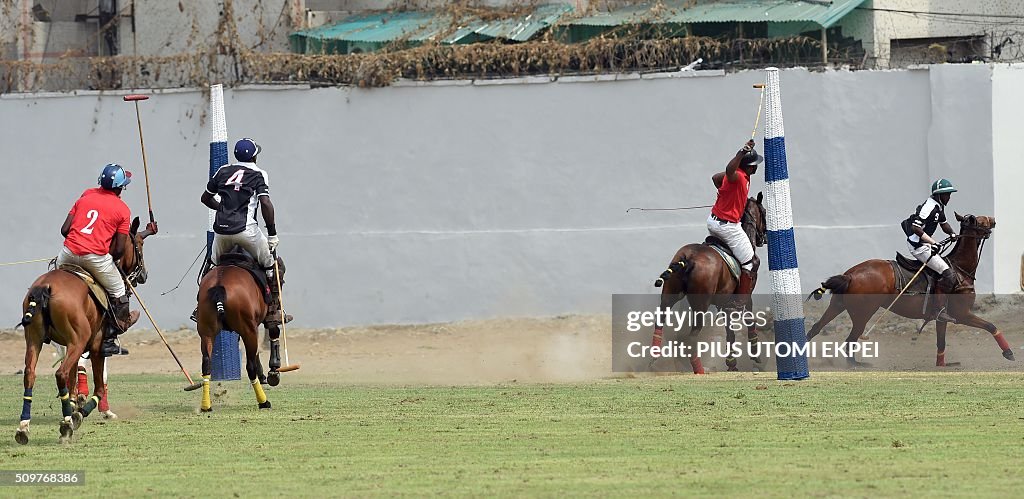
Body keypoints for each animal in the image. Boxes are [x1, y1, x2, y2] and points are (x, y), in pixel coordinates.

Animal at [14, 219, 149, 444]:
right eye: (139, 243)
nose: (144, 275)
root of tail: (45, 287)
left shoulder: (71, 347)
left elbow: (73, 381)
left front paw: (73, 408)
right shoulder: (95, 346)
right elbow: (99, 386)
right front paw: (77, 414)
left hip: (35, 338)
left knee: (30, 373)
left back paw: (24, 427)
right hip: (78, 340)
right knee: (60, 373)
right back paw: (67, 426)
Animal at [193, 252, 284, 411]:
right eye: (282, 277)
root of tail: (219, 287)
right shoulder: (261, 320)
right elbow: (273, 330)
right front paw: (273, 371)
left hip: (206, 332)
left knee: (206, 364)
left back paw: (206, 405)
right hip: (247, 329)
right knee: (250, 367)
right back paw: (263, 402)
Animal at [651, 195, 765, 375]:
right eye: (764, 211)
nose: (764, 238)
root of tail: (688, 258)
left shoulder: (725, 305)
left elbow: (730, 333)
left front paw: (731, 364)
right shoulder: (746, 296)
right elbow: (749, 320)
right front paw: (755, 353)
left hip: (670, 295)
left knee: (660, 320)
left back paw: (654, 356)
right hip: (701, 305)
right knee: (691, 339)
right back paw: (699, 369)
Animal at [802, 212, 1003, 366]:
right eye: (981, 220)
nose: (994, 219)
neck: (960, 268)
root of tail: (850, 275)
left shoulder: (943, 317)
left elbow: (941, 342)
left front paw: (942, 364)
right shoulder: (962, 314)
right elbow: (990, 326)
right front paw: (1007, 353)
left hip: (838, 304)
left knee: (816, 328)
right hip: (863, 313)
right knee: (850, 340)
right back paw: (854, 365)